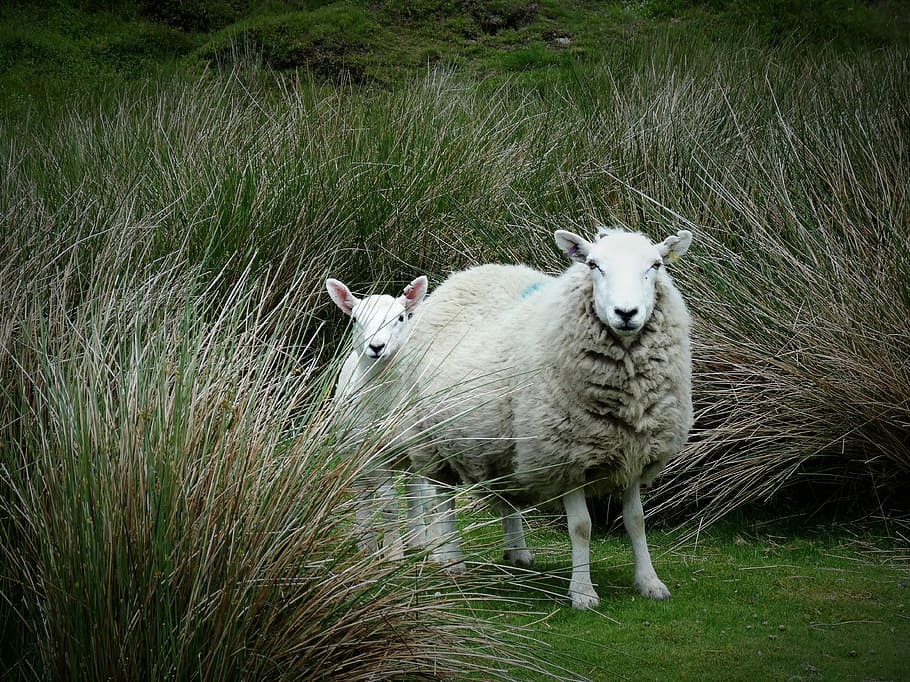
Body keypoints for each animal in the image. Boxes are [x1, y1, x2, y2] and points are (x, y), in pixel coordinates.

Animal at [326, 275, 430, 560]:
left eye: (401, 317)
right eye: (355, 319)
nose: (376, 347)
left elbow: (418, 496)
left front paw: (415, 548)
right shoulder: (374, 454)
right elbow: (388, 505)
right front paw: (393, 556)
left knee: (415, 490)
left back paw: (417, 540)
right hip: (351, 450)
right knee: (361, 491)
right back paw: (366, 545)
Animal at [398, 227, 693, 609]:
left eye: (655, 265)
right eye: (594, 265)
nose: (626, 313)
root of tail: (464, 275)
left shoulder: (635, 451)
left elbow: (636, 521)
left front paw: (649, 582)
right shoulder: (566, 457)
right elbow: (581, 527)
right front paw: (582, 592)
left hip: (503, 444)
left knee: (506, 495)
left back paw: (517, 552)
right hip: (430, 439)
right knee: (443, 498)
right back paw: (451, 559)